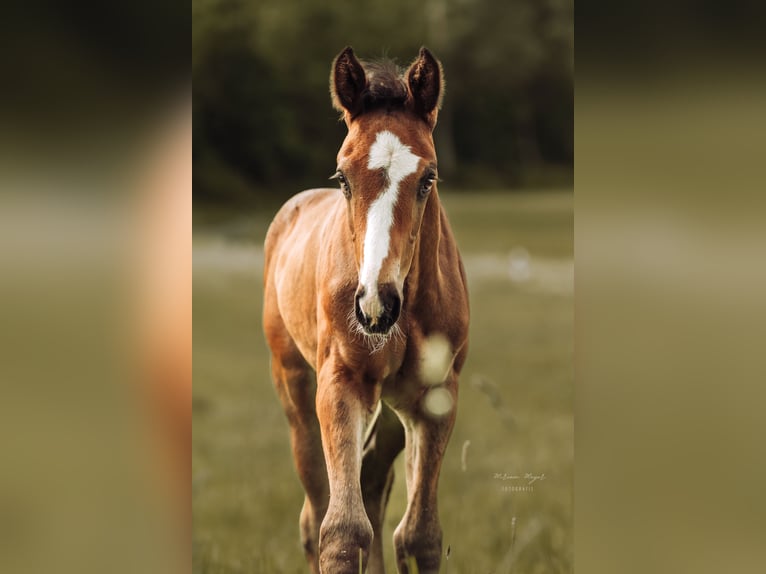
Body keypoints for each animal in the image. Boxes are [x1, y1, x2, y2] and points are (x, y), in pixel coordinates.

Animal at [263, 46, 469, 574]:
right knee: (315, 512)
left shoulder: (435, 399)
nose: (376, 306)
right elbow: (340, 531)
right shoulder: (341, 385)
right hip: (295, 388)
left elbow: (419, 535)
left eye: (428, 178)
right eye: (343, 177)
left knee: (374, 487)